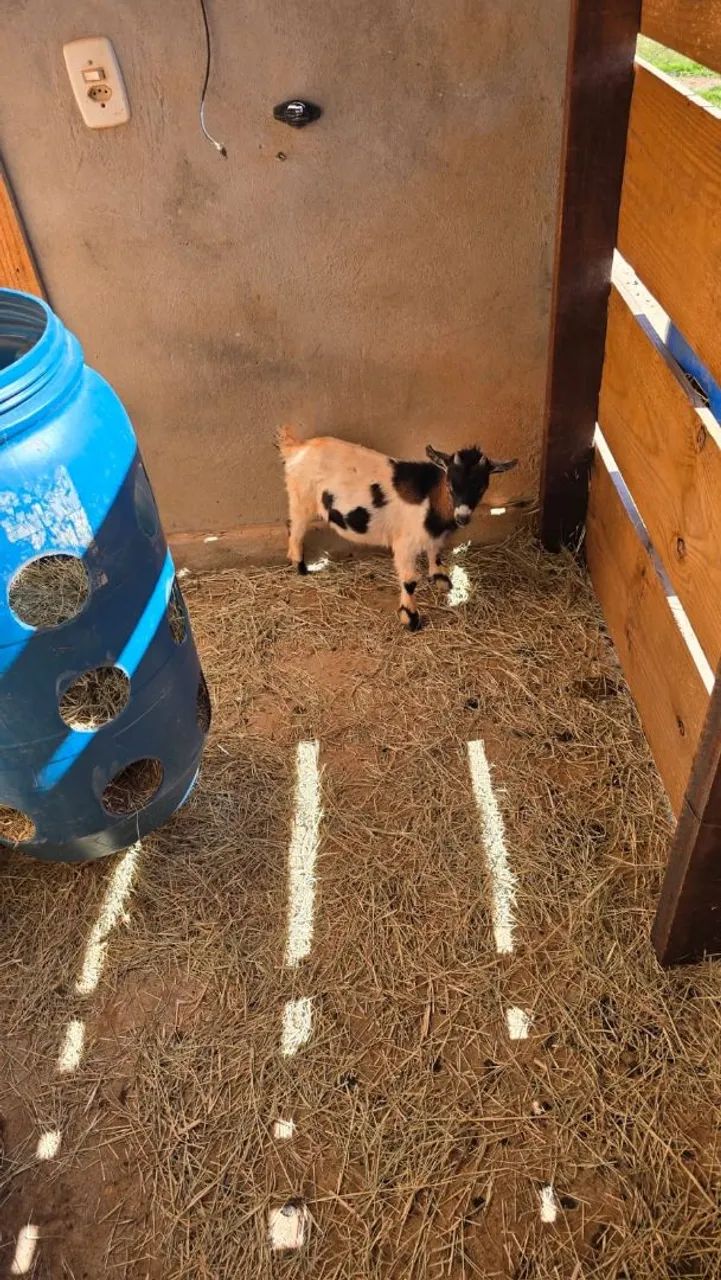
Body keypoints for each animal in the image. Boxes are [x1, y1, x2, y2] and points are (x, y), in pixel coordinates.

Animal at [277, 426, 517, 630]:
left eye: (482, 487)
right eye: (450, 484)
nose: (463, 517)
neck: (430, 497)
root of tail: (296, 447)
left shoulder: (433, 535)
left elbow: (435, 552)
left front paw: (440, 578)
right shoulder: (405, 543)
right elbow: (409, 581)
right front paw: (410, 618)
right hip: (301, 498)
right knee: (296, 526)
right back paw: (300, 566)